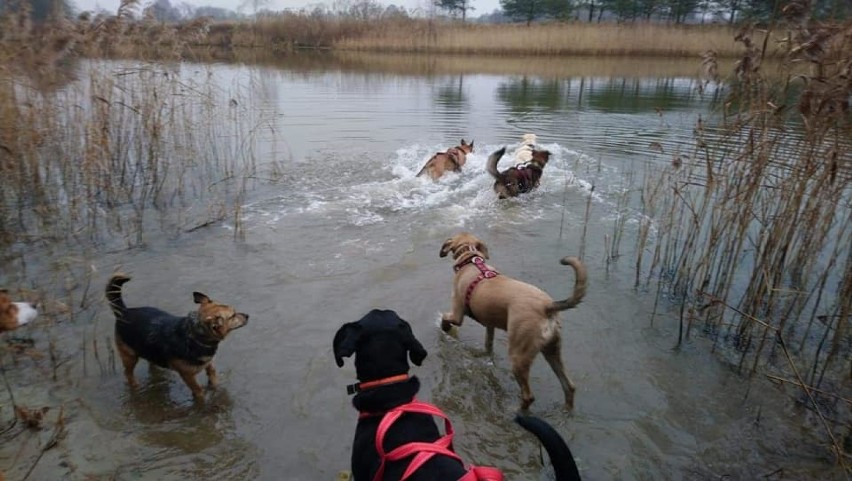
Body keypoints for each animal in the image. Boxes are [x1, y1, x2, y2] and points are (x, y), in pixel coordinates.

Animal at [104, 272, 248, 400]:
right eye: (233, 315)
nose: (247, 315)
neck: (194, 337)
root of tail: (124, 312)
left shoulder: (208, 363)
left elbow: (212, 375)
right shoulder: (188, 375)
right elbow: (198, 390)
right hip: (129, 356)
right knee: (128, 374)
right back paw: (135, 386)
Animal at [440, 232, 584, 408]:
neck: (471, 259)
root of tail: (547, 306)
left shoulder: (457, 314)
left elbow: (445, 319)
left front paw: (445, 330)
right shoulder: (490, 325)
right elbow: (488, 344)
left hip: (519, 356)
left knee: (528, 396)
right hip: (552, 350)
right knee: (569, 386)